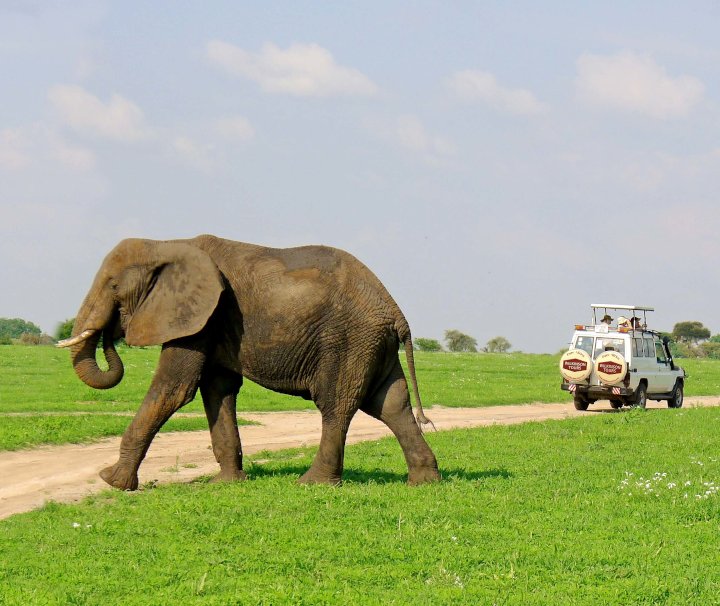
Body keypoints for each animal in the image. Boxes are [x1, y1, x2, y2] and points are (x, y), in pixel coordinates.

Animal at [57, 235, 438, 492]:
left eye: (113, 286)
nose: (112, 333)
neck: (166, 244)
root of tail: (396, 311)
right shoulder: (213, 321)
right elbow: (218, 389)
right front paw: (226, 483)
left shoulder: (200, 316)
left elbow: (174, 389)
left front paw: (112, 481)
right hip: (372, 344)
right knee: (391, 404)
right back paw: (425, 481)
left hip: (348, 340)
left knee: (336, 406)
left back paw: (312, 484)